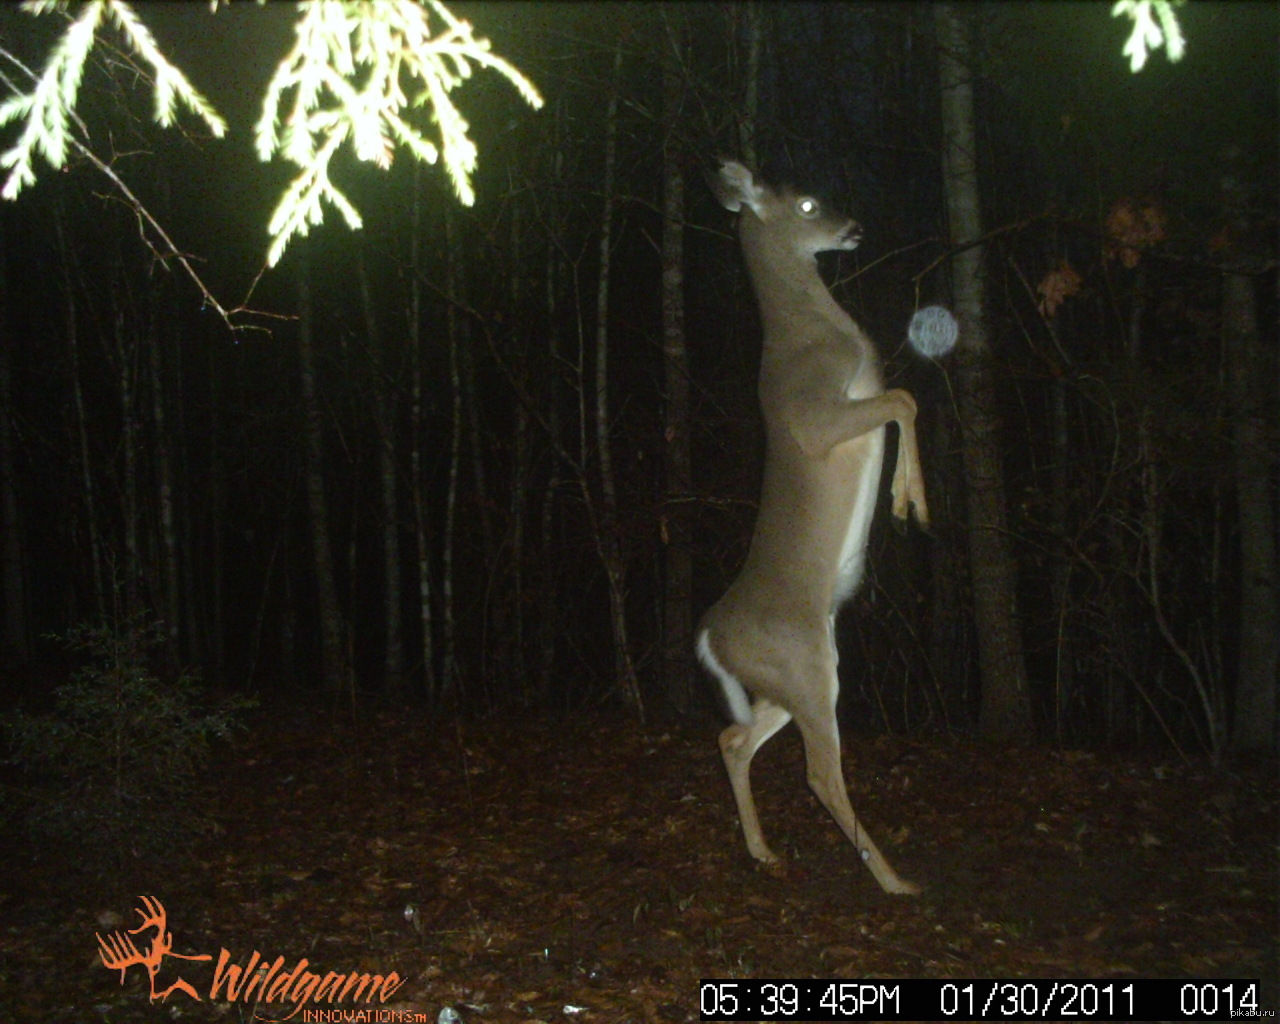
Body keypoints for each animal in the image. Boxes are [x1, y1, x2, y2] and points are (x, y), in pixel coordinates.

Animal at [701, 160, 931, 896]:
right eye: (806, 204)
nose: (854, 227)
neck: (815, 335)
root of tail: (710, 638)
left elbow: (903, 397)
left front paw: (903, 500)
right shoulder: (819, 417)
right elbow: (903, 397)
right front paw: (911, 504)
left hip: (792, 677)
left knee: (733, 738)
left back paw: (762, 851)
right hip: (803, 667)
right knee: (818, 772)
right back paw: (894, 881)